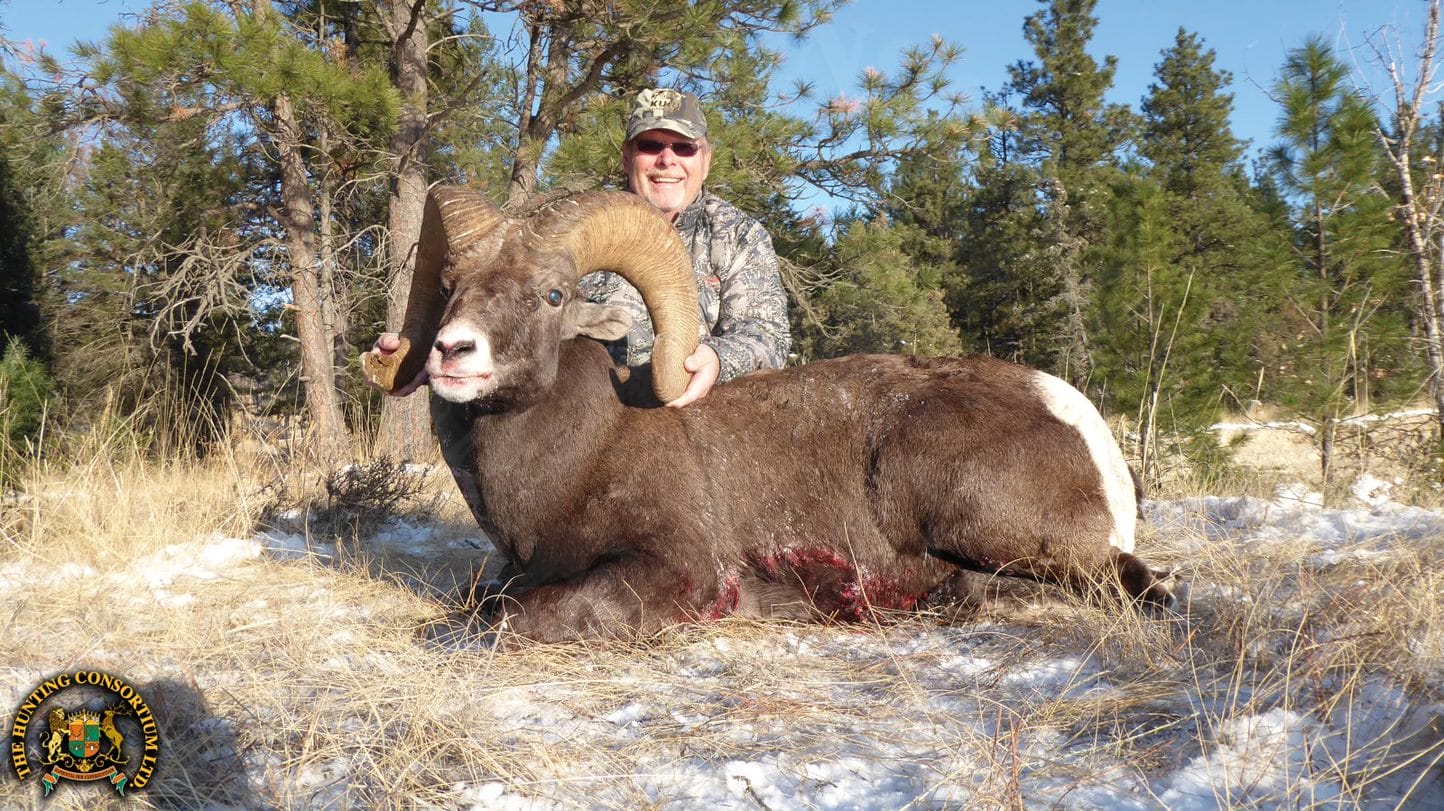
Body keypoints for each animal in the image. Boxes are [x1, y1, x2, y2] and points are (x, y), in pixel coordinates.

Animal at [364, 186, 1177, 643]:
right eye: (450, 283)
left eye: (553, 294)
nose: (452, 352)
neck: (581, 455)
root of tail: (1082, 425)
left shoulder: (673, 568)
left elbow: (507, 616)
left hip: (985, 518)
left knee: (1134, 586)